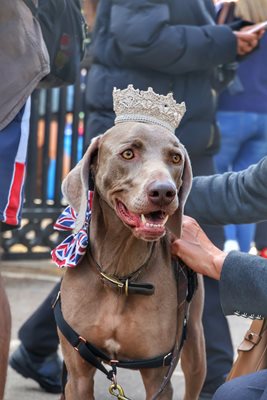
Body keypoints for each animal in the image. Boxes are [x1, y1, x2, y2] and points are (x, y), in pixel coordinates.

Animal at [57, 122, 206, 400]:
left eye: (175, 158)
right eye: (128, 153)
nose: (164, 192)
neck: (119, 276)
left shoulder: (158, 375)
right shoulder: (78, 374)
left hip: (193, 342)